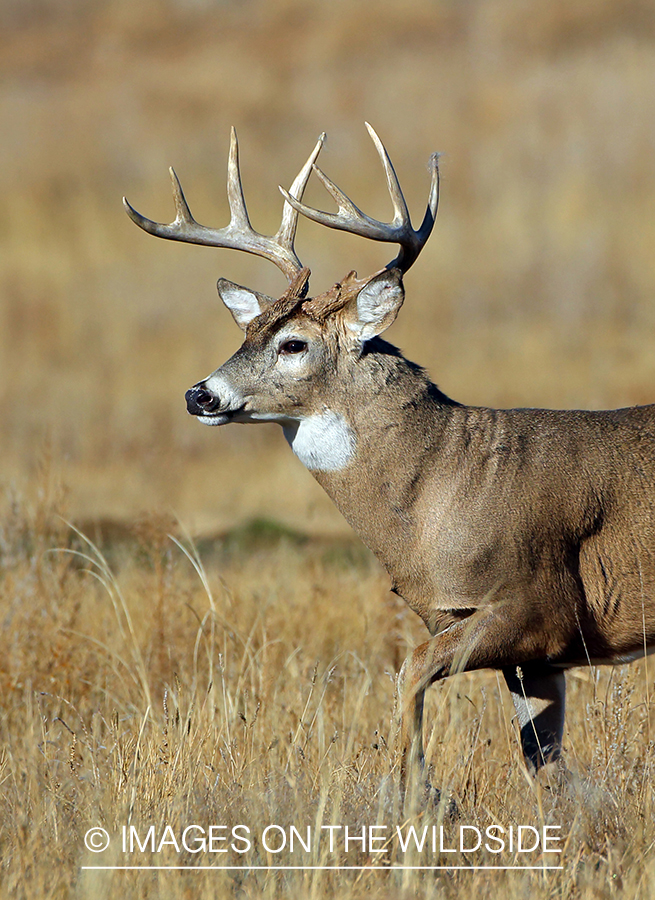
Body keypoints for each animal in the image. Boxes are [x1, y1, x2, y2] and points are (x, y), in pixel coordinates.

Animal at [124, 125, 655, 796]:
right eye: (244, 336)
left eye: (293, 343)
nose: (201, 395)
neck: (443, 490)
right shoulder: (528, 654)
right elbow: (544, 763)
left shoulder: (539, 603)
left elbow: (409, 673)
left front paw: (419, 793)